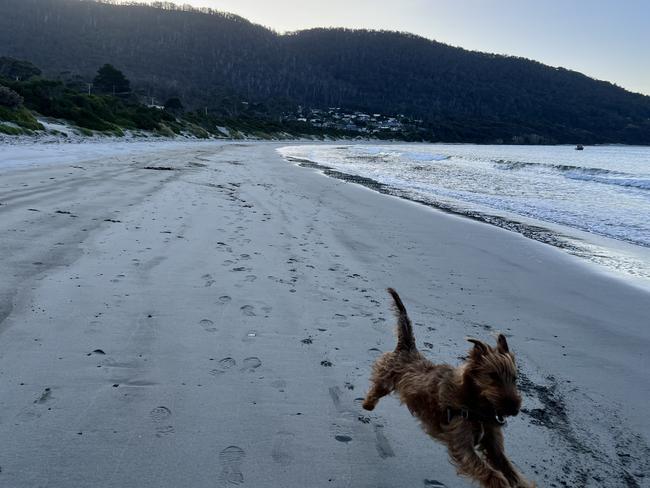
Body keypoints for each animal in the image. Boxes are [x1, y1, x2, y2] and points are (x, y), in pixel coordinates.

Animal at [362, 288, 536, 486]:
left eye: (514, 379)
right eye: (493, 377)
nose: (514, 409)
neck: (476, 405)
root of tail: (408, 348)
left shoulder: (493, 445)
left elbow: (509, 469)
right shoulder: (461, 442)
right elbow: (489, 472)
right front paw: (500, 482)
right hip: (386, 377)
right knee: (377, 388)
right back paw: (367, 404)